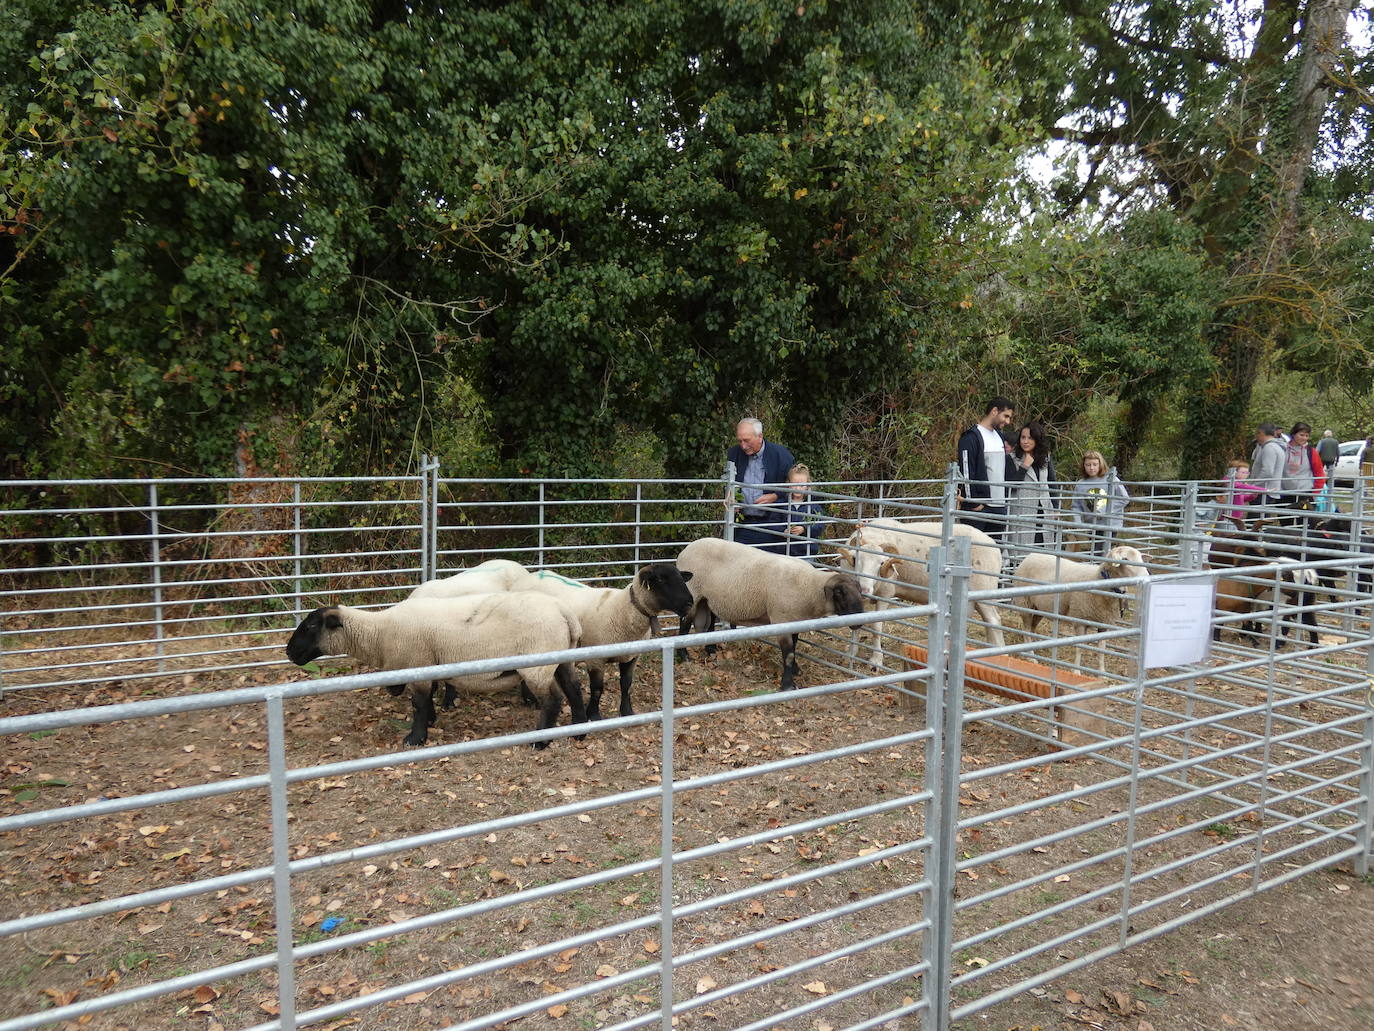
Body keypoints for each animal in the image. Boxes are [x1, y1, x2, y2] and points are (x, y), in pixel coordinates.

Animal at [287, 596, 588, 753]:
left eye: (311, 626)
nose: (290, 653)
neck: (380, 633)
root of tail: (564, 613)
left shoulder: (417, 662)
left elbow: (418, 703)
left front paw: (415, 738)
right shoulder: (428, 663)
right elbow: (427, 696)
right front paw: (431, 721)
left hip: (536, 663)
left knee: (552, 700)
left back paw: (541, 741)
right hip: (561, 659)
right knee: (573, 689)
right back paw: (579, 731)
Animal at [524, 566, 697, 720]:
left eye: (681, 577)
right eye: (660, 579)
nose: (690, 603)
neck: (624, 609)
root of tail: (532, 575)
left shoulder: (632, 656)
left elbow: (626, 685)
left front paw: (627, 712)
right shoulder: (595, 659)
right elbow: (597, 689)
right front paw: (593, 715)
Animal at [673, 533, 862, 695]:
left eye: (860, 591)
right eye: (839, 593)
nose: (859, 622)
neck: (810, 586)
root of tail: (686, 549)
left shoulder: (794, 620)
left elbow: (794, 648)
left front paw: (796, 670)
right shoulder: (782, 619)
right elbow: (788, 654)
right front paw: (787, 685)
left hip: (707, 598)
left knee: (710, 620)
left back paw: (711, 650)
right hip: (693, 593)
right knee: (684, 624)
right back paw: (684, 656)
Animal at [829, 519, 1005, 673]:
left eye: (881, 563)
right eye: (855, 559)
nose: (864, 590)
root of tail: (994, 544)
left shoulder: (885, 593)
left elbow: (876, 628)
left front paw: (876, 661)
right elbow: (855, 622)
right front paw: (851, 654)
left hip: (984, 590)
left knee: (994, 620)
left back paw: (1000, 654)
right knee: (988, 622)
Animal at [1016, 544, 1143, 673]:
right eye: (1125, 559)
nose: (1146, 575)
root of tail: (1030, 555)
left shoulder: (1104, 623)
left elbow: (1102, 650)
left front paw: (1102, 672)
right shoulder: (1080, 619)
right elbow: (1080, 647)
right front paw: (1076, 671)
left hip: (1039, 608)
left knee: (1031, 628)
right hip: (1025, 603)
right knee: (1026, 629)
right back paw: (1030, 656)